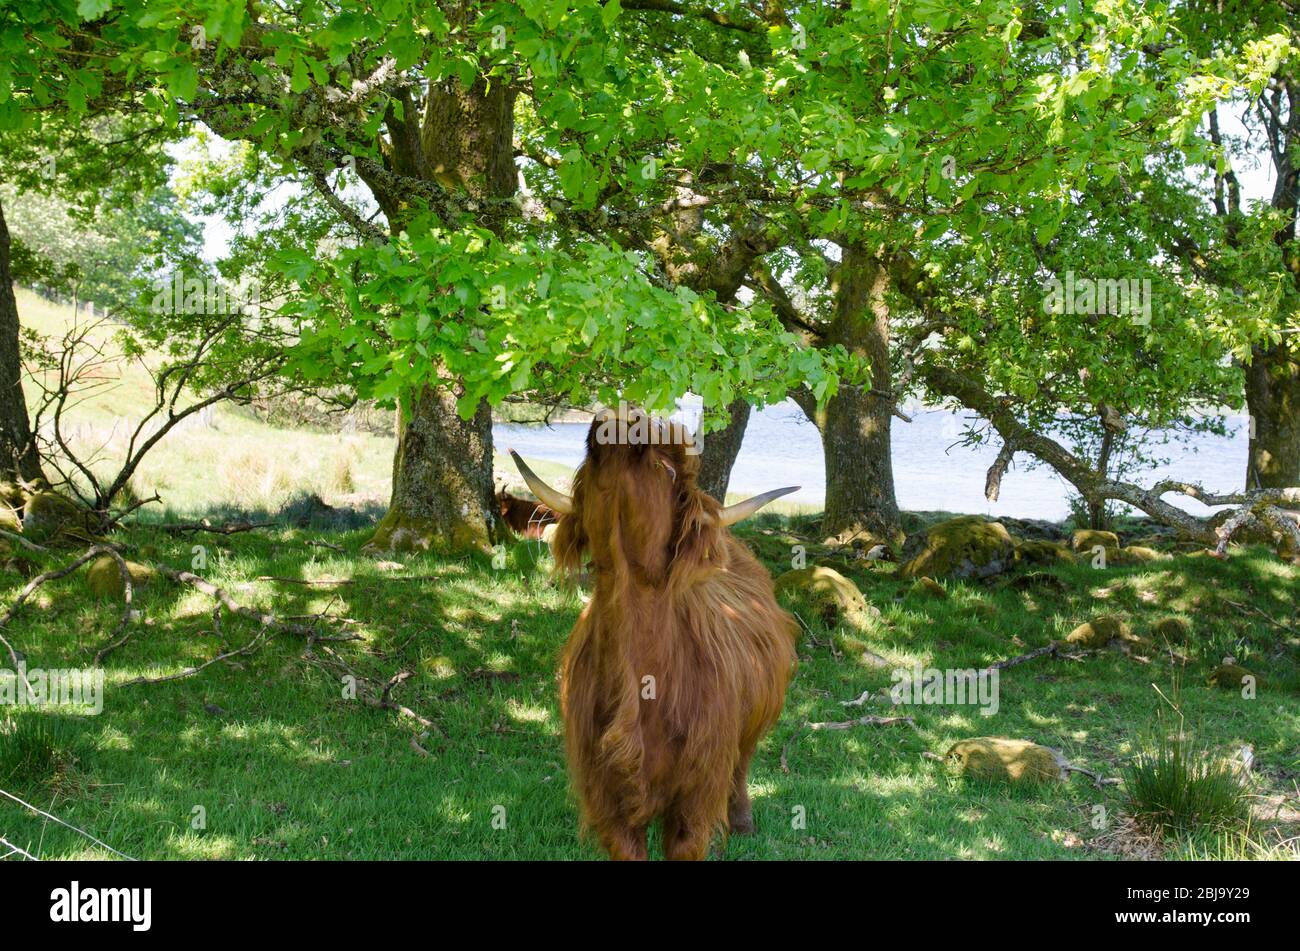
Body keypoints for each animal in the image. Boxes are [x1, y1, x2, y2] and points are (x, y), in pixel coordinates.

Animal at [509, 407, 795, 862]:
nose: (624, 416)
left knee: (742, 763)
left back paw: (743, 822)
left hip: (754, 721)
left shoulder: (695, 799)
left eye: (667, 469)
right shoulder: (609, 800)